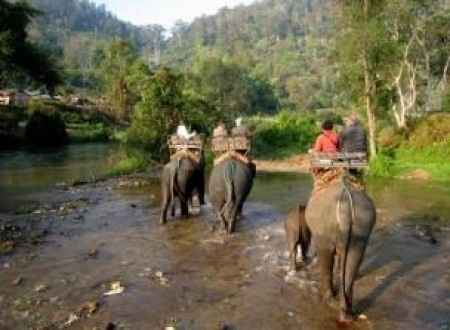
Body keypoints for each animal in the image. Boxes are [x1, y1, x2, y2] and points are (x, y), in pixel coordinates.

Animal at [300, 179, 378, 324]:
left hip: (324, 229)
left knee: (325, 256)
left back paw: (327, 299)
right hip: (363, 225)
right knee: (354, 259)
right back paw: (347, 313)